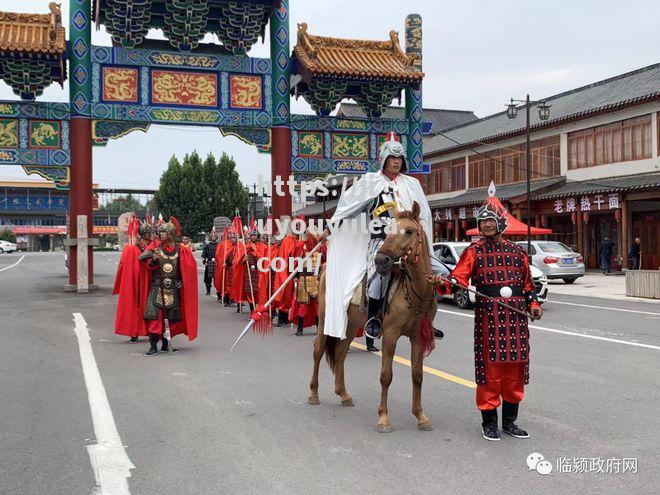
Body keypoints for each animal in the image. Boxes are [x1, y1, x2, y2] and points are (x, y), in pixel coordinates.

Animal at [310, 203, 438, 432]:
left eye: (409, 231)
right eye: (389, 230)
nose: (381, 260)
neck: (415, 291)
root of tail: (324, 269)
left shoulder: (417, 336)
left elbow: (417, 375)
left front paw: (420, 416)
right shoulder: (391, 334)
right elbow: (386, 376)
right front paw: (384, 418)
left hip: (351, 324)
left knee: (340, 353)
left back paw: (343, 394)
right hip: (325, 318)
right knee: (318, 351)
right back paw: (314, 394)